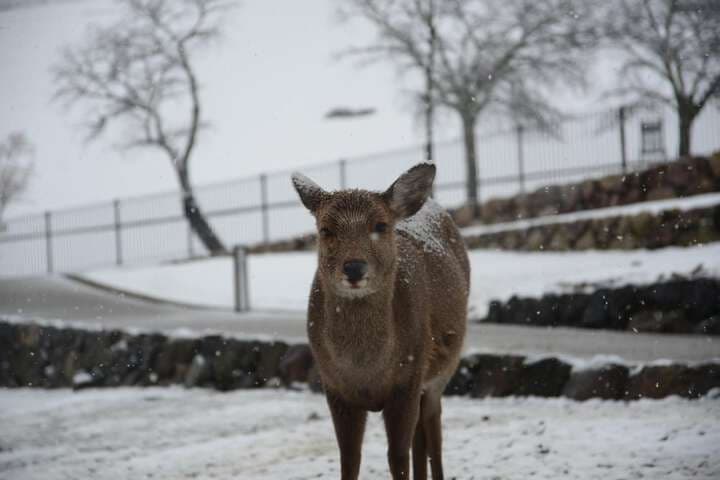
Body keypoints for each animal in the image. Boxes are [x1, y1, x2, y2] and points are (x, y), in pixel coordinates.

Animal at [291, 163, 470, 480]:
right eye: (326, 229)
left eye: (380, 226)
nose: (353, 267)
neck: (366, 372)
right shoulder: (334, 386)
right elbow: (350, 457)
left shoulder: (408, 380)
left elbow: (397, 457)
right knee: (421, 437)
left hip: (441, 373)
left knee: (433, 432)